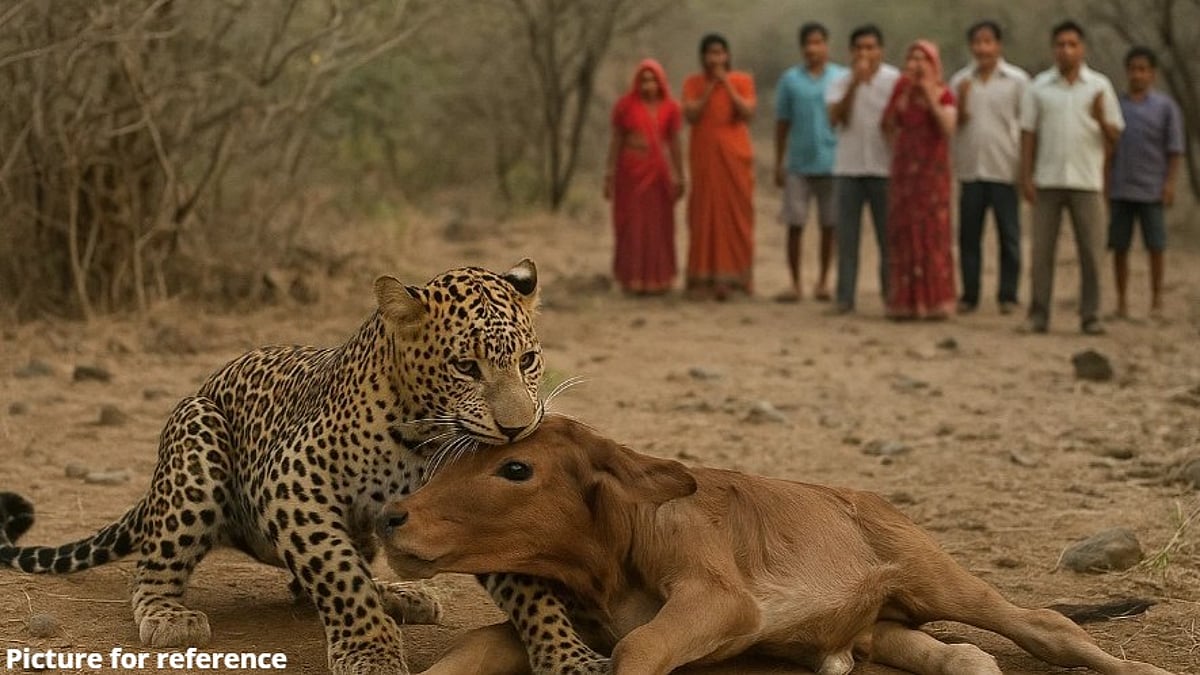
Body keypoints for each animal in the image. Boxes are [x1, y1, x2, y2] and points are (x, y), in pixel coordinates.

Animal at [0, 260, 610, 675]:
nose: (518, 428)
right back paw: (169, 616)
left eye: (527, 361)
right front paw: (370, 652)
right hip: (197, 438)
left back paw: (401, 596)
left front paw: (570, 655)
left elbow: (532, 592)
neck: (424, 439)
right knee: (155, 568)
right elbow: (338, 576)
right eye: (466, 366)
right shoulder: (291, 483)